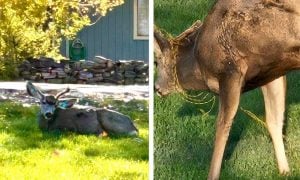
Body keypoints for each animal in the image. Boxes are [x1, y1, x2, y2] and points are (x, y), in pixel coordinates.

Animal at [155, 0, 300, 179]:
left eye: (156, 62)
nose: (156, 87)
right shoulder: (271, 73)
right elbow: (274, 121)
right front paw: (285, 171)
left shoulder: (230, 71)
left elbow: (222, 127)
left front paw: (212, 175)